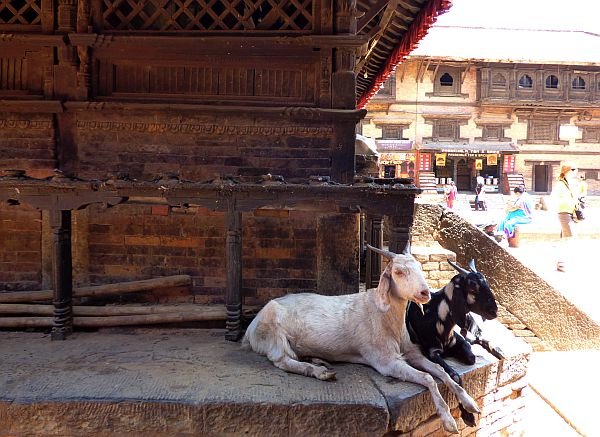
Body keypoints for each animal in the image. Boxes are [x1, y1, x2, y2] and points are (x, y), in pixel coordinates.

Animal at [241, 244, 480, 430]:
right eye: (399, 272)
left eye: (420, 268)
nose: (425, 293)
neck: (384, 317)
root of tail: (250, 329)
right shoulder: (386, 362)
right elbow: (428, 378)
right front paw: (448, 420)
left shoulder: (412, 353)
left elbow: (440, 371)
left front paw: (469, 403)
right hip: (275, 335)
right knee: (282, 361)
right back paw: (319, 372)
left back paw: (319, 362)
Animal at [408, 258, 502, 426]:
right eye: (472, 286)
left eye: (486, 282)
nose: (494, 311)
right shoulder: (432, 351)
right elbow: (456, 376)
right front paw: (468, 415)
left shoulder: (458, 340)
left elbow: (471, 357)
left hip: (470, 322)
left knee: (478, 337)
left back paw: (496, 349)